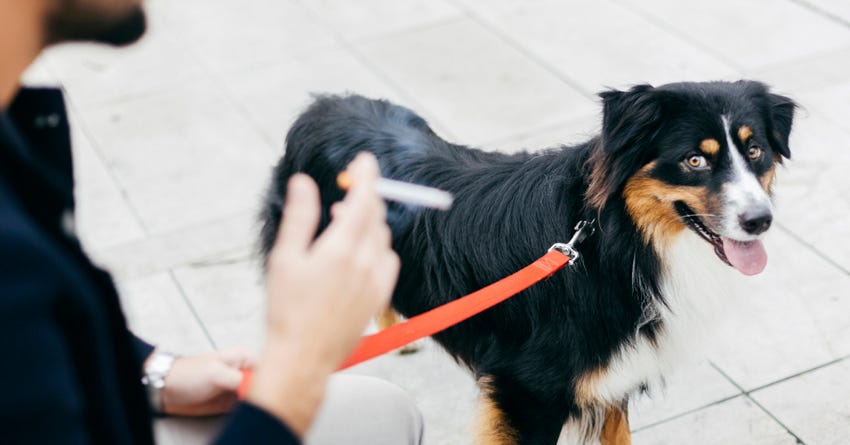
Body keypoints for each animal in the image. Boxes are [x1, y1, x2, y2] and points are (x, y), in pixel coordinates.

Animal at [258, 80, 796, 444]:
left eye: (755, 150)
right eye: (694, 161)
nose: (760, 221)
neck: (616, 243)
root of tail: (324, 105)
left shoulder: (615, 377)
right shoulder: (529, 390)